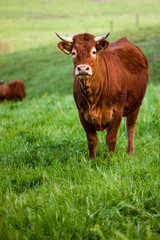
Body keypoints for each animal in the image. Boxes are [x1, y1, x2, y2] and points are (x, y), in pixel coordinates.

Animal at [56, 31, 149, 159]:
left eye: (93, 51)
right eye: (73, 52)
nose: (83, 68)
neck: (92, 96)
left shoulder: (117, 112)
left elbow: (111, 138)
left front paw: (112, 159)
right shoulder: (82, 113)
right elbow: (92, 140)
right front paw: (92, 160)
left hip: (136, 105)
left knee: (130, 128)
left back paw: (130, 153)